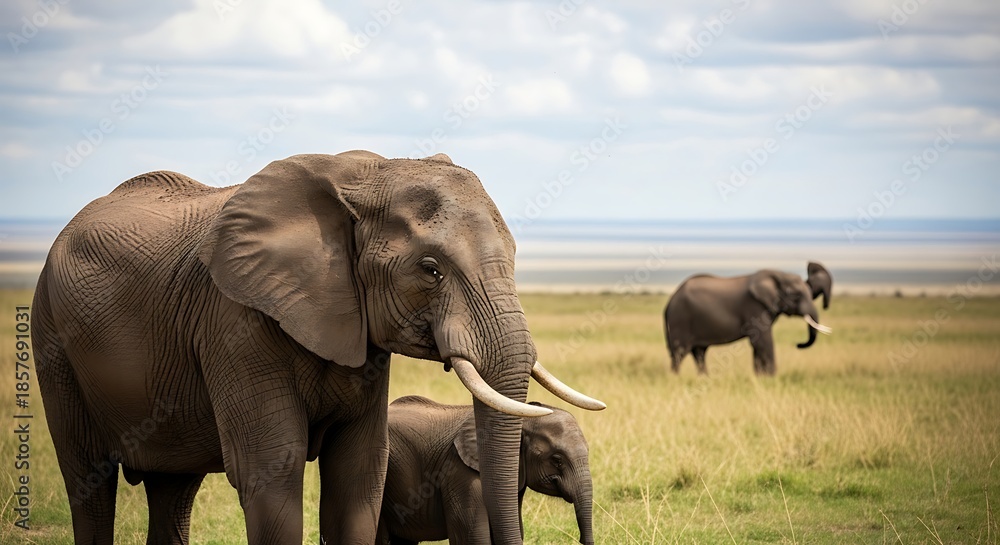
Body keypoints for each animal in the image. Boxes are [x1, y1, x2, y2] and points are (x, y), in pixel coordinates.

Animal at [663, 263, 832, 375]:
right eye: (796, 295)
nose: (798, 344)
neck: (778, 274)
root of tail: (670, 301)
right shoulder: (754, 307)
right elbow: (763, 340)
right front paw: (771, 378)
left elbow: (758, 343)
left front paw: (760, 378)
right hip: (680, 319)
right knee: (679, 353)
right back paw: (676, 378)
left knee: (699, 353)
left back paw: (704, 378)